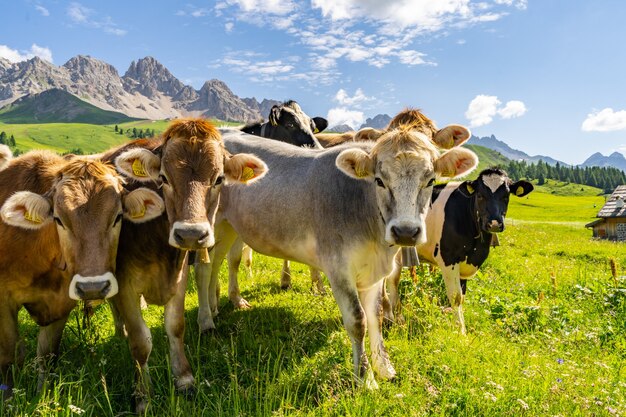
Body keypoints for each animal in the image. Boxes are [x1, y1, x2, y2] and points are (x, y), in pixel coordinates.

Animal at [0, 151, 163, 398]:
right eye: (58, 219)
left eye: (118, 217)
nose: (92, 287)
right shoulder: (4, 302)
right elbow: (9, 356)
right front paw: (9, 398)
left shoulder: (61, 303)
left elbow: (47, 354)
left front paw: (41, 394)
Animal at [102, 118, 266, 412]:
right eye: (163, 178)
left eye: (219, 179)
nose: (190, 234)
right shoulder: (126, 283)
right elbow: (140, 342)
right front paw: (143, 395)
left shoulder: (178, 276)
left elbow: (176, 327)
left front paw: (184, 378)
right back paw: (120, 330)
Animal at [193, 127, 476, 386]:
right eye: (379, 180)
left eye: (430, 181)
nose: (405, 231)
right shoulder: (338, 267)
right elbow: (358, 320)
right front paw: (365, 379)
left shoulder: (374, 273)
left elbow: (376, 317)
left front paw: (384, 368)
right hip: (210, 223)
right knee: (204, 268)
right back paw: (206, 321)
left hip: (229, 227)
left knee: (218, 262)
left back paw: (218, 305)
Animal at [386, 167, 532, 334]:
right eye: (480, 195)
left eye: (506, 196)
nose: (494, 224)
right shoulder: (448, 258)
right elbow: (455, 297)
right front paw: (461, 331)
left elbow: (462, 296)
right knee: (389, 280)